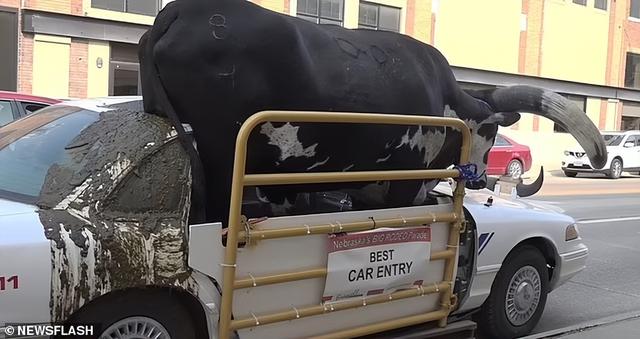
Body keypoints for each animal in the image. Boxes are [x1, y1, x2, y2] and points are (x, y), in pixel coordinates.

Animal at [139, 0, 604, 224]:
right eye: (490, 136)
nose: (479, 179)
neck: (445, 101)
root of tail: (179, 10)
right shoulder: (403, 180)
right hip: (220, 155)